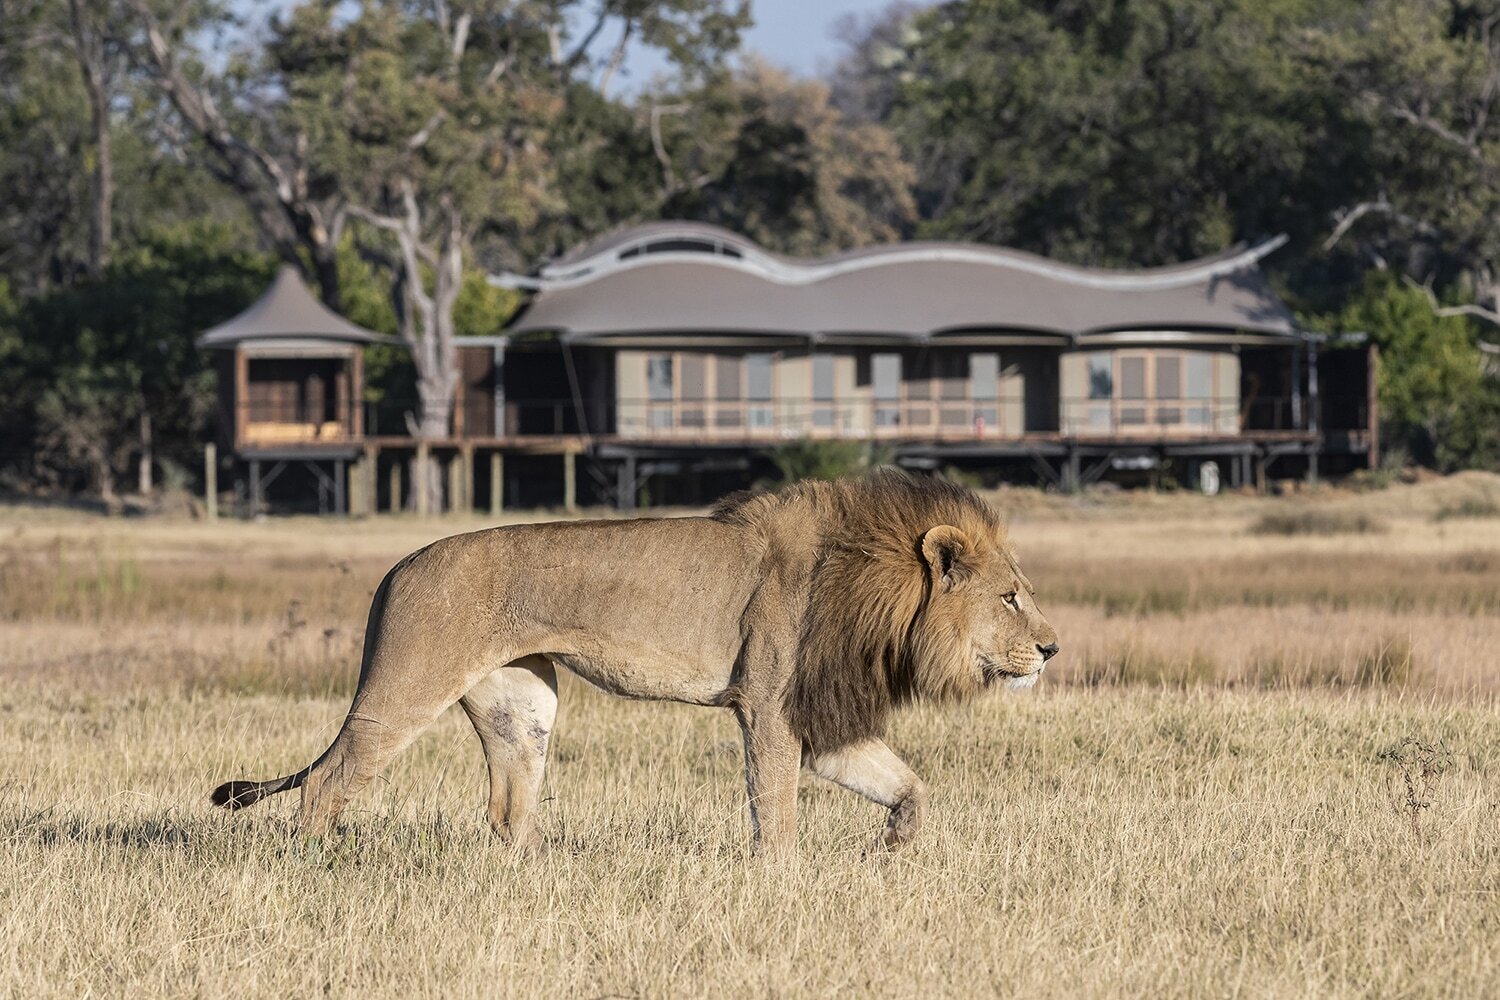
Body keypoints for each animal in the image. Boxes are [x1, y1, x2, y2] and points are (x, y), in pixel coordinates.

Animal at [211, 470, 1062, 851]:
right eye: (1011, 597)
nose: (1052, 649)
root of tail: (395, 567)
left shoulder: (822, 720)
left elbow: (909, 786)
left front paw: (891, 851)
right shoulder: (770, 707)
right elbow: (775, 809)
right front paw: (783, 882)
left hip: (525, 703)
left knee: (508, 808)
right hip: (406, 687)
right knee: (328, 781)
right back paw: (320, 865)